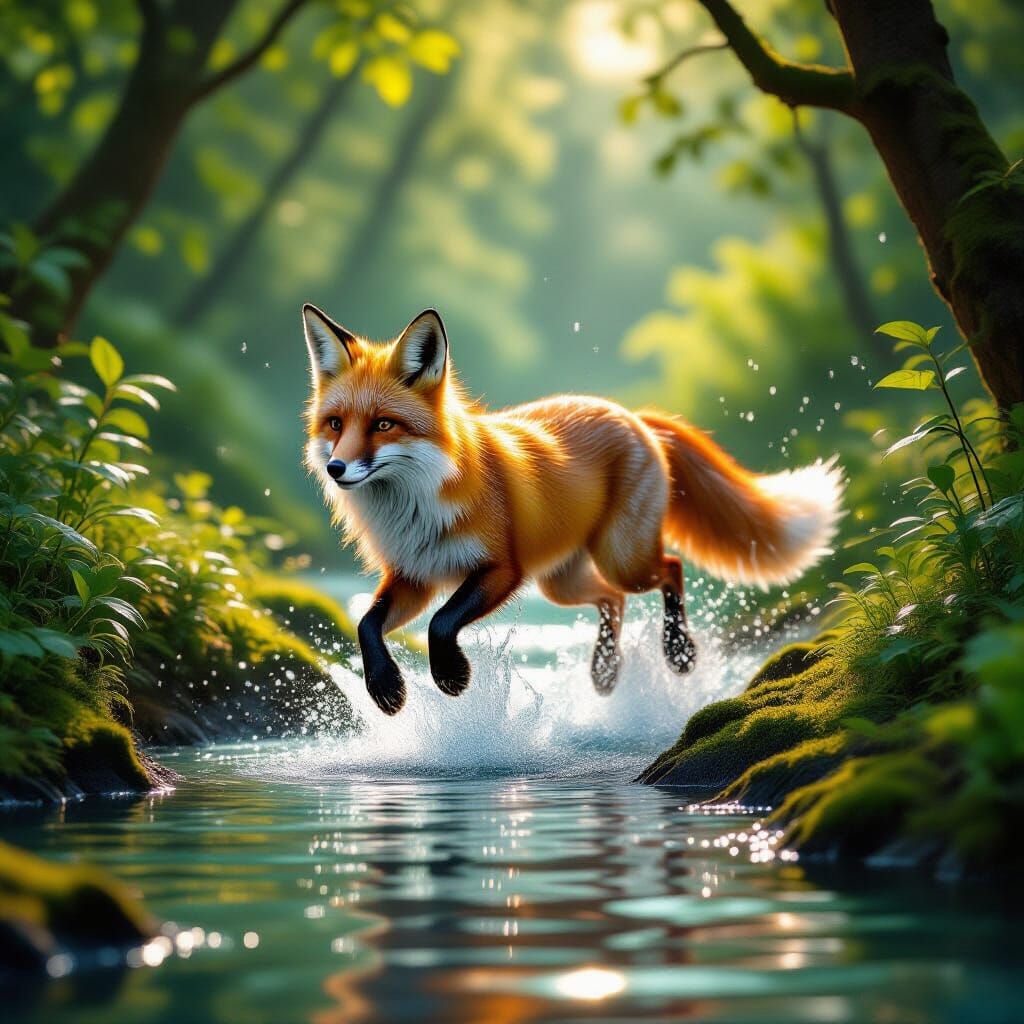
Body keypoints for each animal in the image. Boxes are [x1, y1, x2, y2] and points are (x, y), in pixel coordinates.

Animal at [301, 304, 844, 715]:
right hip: (560, 582)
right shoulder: (413, 577)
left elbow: (440, 623)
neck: (416, 507)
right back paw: (605, 671)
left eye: (383, 425)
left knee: (670, 567)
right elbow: (366, 624)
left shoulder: (502, 569)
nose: (336, 467)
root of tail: (632, 415)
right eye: (335, 423)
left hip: (620, 559)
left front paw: (451, 676)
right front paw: (385, 687)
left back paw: (679, 652)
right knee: (613, 599)